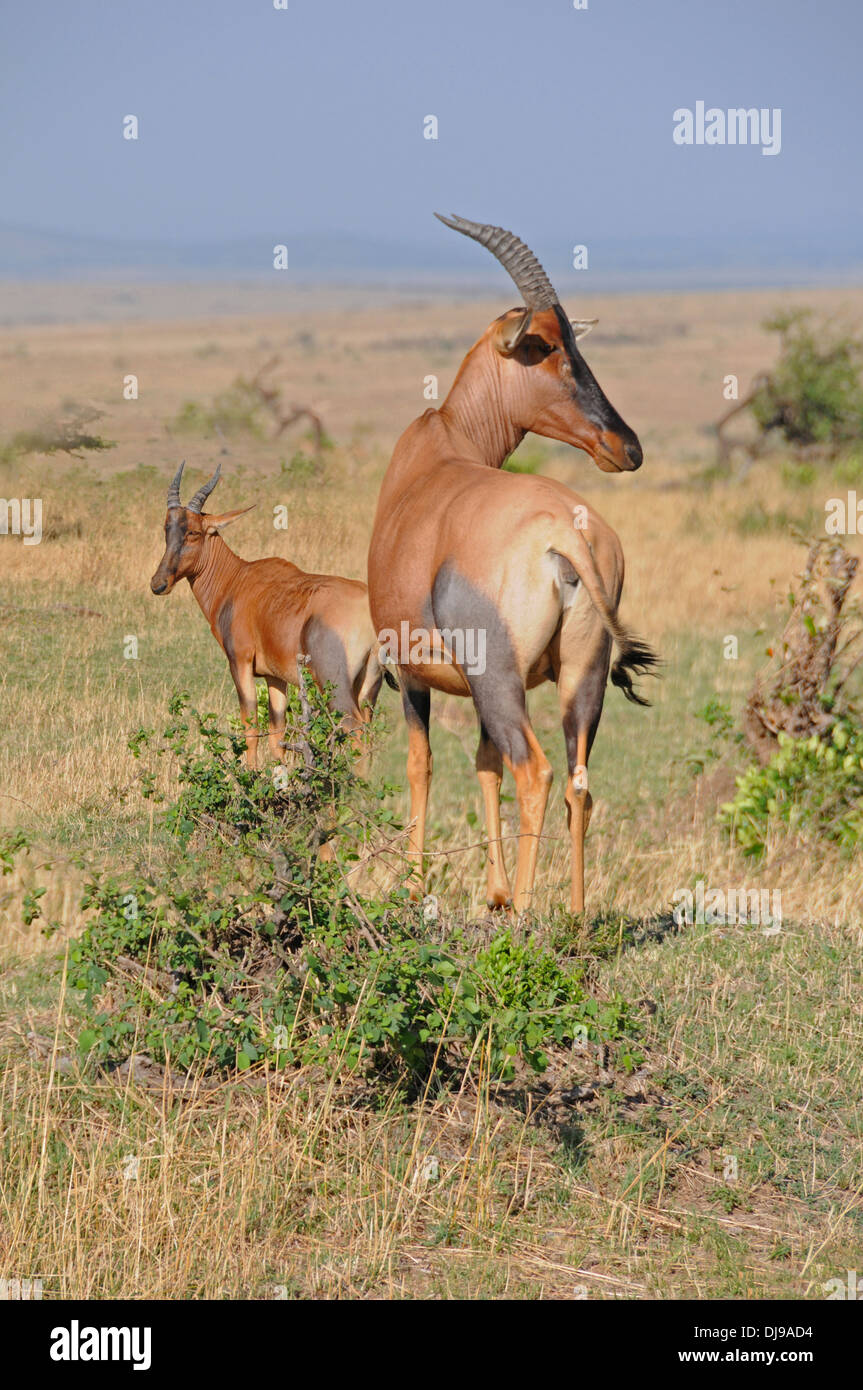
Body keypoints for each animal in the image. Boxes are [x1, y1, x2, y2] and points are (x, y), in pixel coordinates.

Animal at [151, 461, 383, 767]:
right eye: (167, 528)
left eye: (193, 532)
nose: (158, 584)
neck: (238, 580)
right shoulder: (275, 677)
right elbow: (277, 735)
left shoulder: (240, 663)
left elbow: (250, 727)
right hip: (368, 689)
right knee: (369, 737)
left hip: (336, 687)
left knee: (355, 733)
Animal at [366, 211, 655, 917]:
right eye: (546, 346)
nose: (627, 446)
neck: (440, 449)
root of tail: (566, 537)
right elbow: (482, 763)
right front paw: (493, 892)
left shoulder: (414, 674)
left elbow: (423, 764)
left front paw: (420, 888)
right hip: (582, 677)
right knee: (577, 779)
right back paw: (575, 915)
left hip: (498, 679)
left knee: (537, 771)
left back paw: (526, 912)